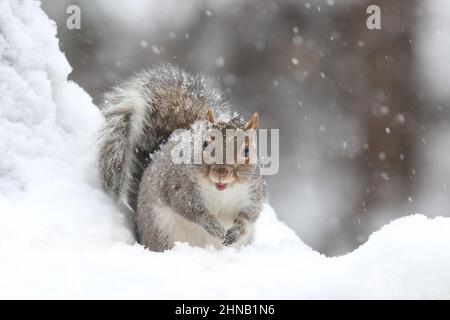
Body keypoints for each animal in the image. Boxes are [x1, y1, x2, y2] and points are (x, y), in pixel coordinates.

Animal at [96, 64, 266, 250]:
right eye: (205, 144)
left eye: (246, 151)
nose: (221, 172)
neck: (221, 191)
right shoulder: (179, 185)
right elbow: (190, 209)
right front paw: (213, 226)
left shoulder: (253, 191)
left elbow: (250, 214)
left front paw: (237, 230)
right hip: (160, 231)